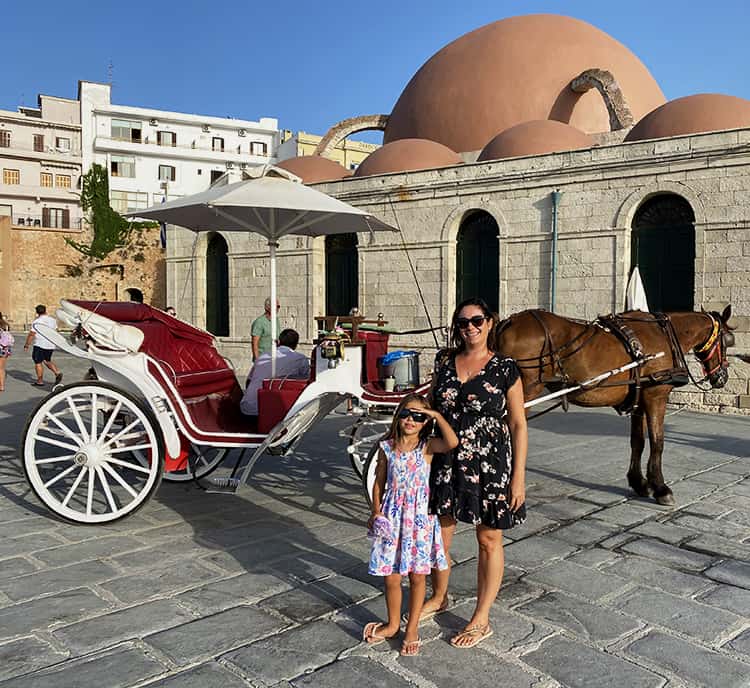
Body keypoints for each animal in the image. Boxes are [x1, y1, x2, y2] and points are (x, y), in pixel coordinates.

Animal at [496, 306, 736, 506]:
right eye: (728, 340)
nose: (722, 378)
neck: (665, 335)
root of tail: (507, 322)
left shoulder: (639, 401)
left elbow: (637, 441)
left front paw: (639, 483)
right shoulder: (656, 396)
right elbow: (658, 442)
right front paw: (661, 488)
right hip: (526, 394)